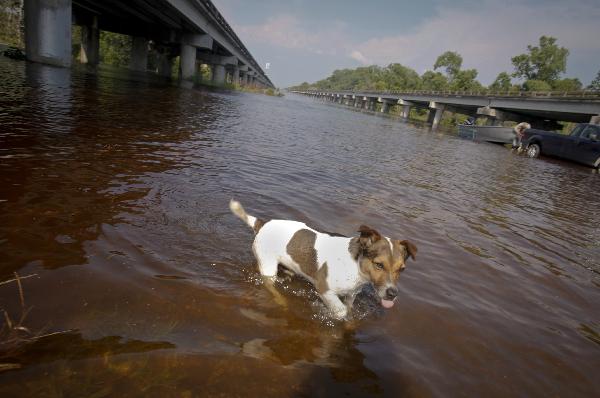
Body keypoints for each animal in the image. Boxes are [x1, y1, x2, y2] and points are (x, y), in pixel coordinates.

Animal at [230, 201, 418, 318]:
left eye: (402, 269)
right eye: (379, 264)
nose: (392, 294)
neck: (354, 265)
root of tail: (262, 224)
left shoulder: (351, 294)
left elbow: (349, 308)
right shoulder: (324, 289)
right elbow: (341, 311)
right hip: (268, 268)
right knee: (270, 286)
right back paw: (281, 300)